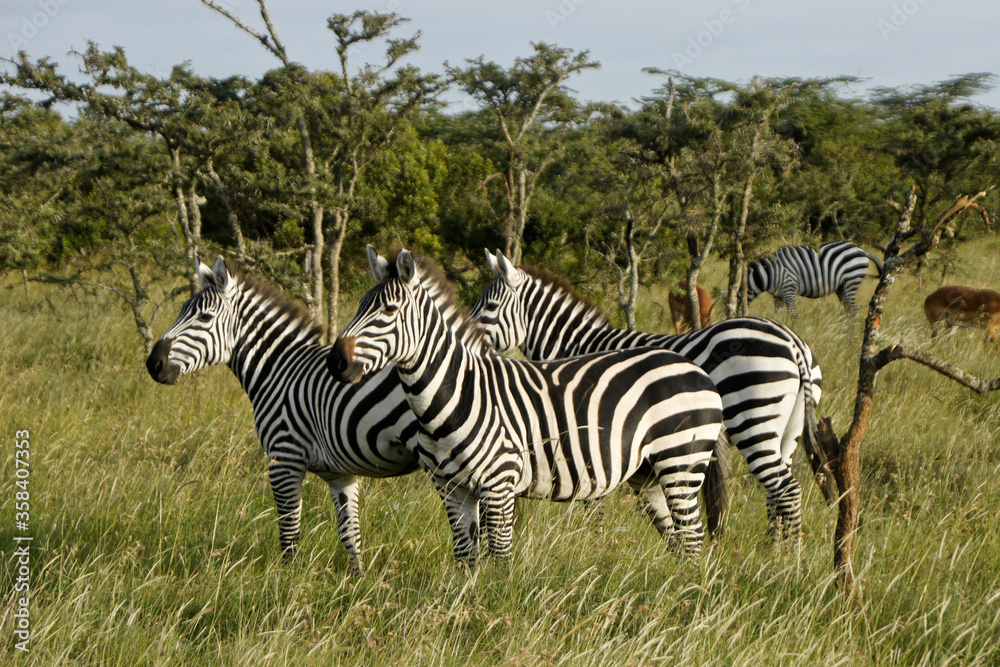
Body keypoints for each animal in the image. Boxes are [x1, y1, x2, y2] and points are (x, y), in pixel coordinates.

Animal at [146, 256, 422, 574]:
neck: (279, 369)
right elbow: (350, 534)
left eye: (204, 317)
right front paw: (358, 580)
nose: (153, 364)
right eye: (180, 311)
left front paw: (287, 580)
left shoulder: (284, 458)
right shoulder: (341, 472)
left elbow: (289, 533)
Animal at [327, 246, 726, 565]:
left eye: (388, 310)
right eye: (360, 307)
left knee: (692, 538)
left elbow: (500, 558)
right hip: (648, 474)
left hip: (681, 463)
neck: (457, 394)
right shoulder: (451, 488)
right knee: (676, 539)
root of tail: (695, 368)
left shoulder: (499, 484)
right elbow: (466, 558)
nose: (336, 362)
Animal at [469, 249, 838, 541]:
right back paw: (776, 552)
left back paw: (787, 558)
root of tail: (792, 341)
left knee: (786, 490)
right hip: (787, 430)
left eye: (489, 306)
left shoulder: (593, 432)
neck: (578, 347)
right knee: (777, 493)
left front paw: (592, 547)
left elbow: (594, 502)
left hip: (754, 419)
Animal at [746, 240, 883, 319]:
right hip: (842, 287)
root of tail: (862, 251)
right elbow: (778, 316)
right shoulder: (778, 296)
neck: (768, 273)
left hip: (852, 279)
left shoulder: (789, 288)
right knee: (849, 310)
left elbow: (793, 315)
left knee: (853, 311)